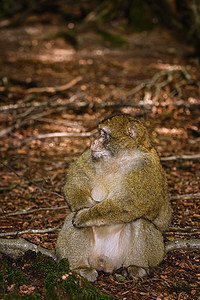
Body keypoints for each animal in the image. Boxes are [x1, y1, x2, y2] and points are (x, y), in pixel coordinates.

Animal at [55, 113, 172, 282]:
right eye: (100, 133)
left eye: (104, 134)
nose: (94, 142)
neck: (120, 159)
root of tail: (105, 263)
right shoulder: (91, 156)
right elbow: (76, 179)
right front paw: (85, 205)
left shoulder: (145, 168)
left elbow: (132, 204)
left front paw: (86, 216)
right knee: (72, 217)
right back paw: (80, 267)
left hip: (152, 253)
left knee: (140, 221)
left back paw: (136, 266)